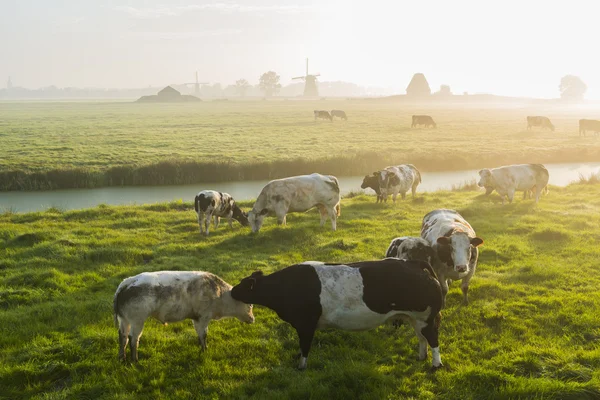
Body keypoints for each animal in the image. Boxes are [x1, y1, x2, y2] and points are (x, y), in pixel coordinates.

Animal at [113, 270, 254, 360]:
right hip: (137, 320)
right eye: (250, 305)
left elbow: (199, 335)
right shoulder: (202, 317)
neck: (220, 294)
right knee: (133, 338)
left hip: (124, 319)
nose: (253, 319)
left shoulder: (196, 318)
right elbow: (204, 334)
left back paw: (122, 359)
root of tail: (126, 282)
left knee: (123, 336)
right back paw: (135, 361)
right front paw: (205, 350)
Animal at [232, 260, 442, 370]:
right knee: (421, 338)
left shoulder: (306, 324)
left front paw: (301, 366)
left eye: (244, 285)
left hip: (426, 318)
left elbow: (305, 346)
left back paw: (435, 364)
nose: (232, 291)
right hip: (415, 317)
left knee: (432, 338)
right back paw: (421, 357)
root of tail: (413, 263)